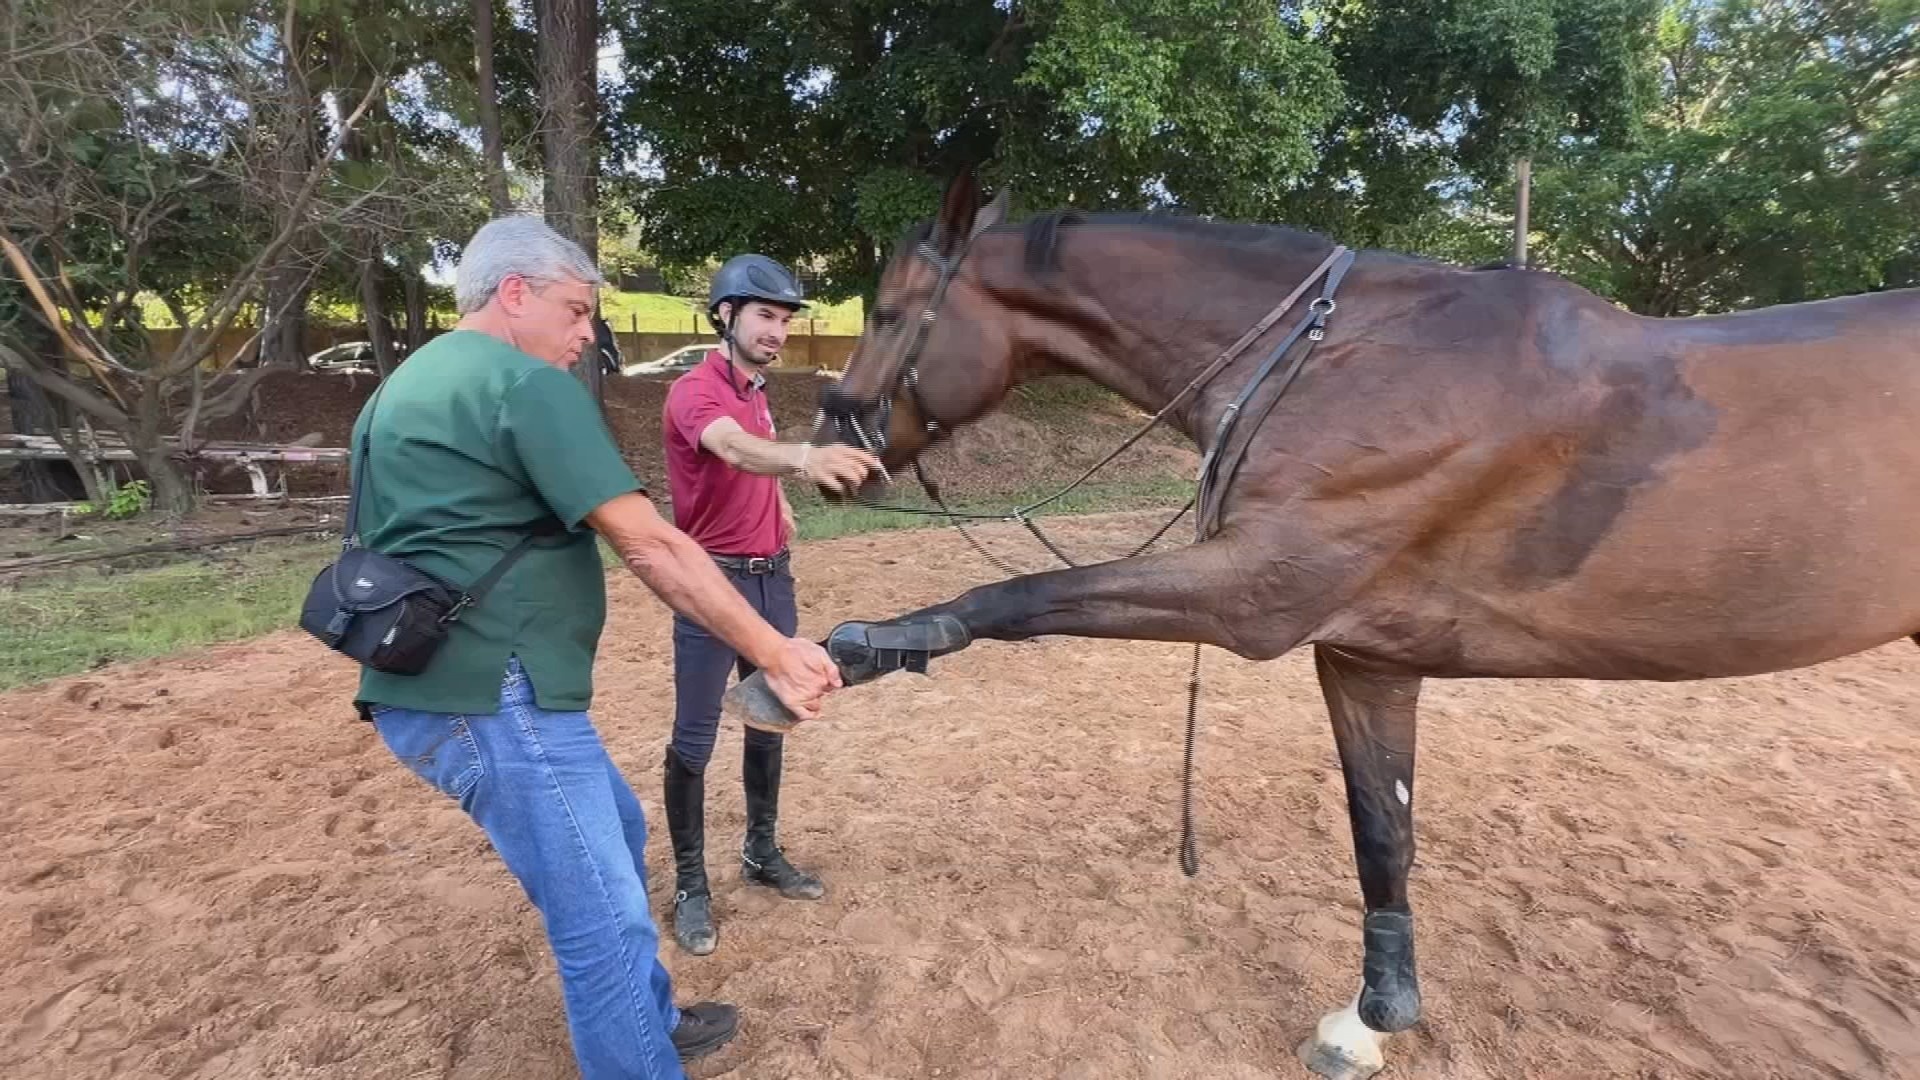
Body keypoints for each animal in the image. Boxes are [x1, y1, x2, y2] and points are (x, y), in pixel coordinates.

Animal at [725, 171, 1920, 1078]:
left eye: (888, 312)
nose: (831, 448)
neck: (1356, 361)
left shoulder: (1255, 596)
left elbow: (1007, 602)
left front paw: (824, 662)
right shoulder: (1364, 654)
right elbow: (1382, 833)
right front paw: (1373, 1018)